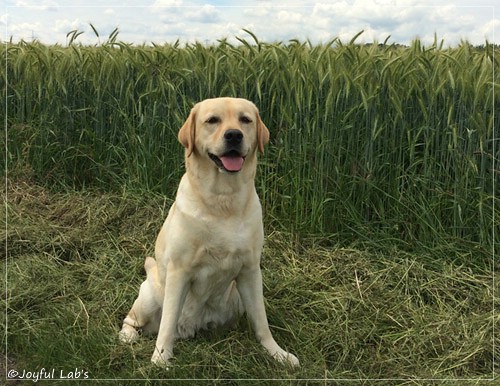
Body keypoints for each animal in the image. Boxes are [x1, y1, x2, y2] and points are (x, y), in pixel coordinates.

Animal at [119, 97, 298, 368]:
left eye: (245, 120)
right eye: (212, 120)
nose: (234, 135)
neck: (223, 200)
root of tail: (189, 328)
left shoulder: (250, 270)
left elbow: (261, 321)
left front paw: (277, 353)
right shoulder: (179, 271)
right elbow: (167, 323)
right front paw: (160, 358)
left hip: (236, 298)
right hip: (150, 295)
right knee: (133, 320)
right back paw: (128, 336)